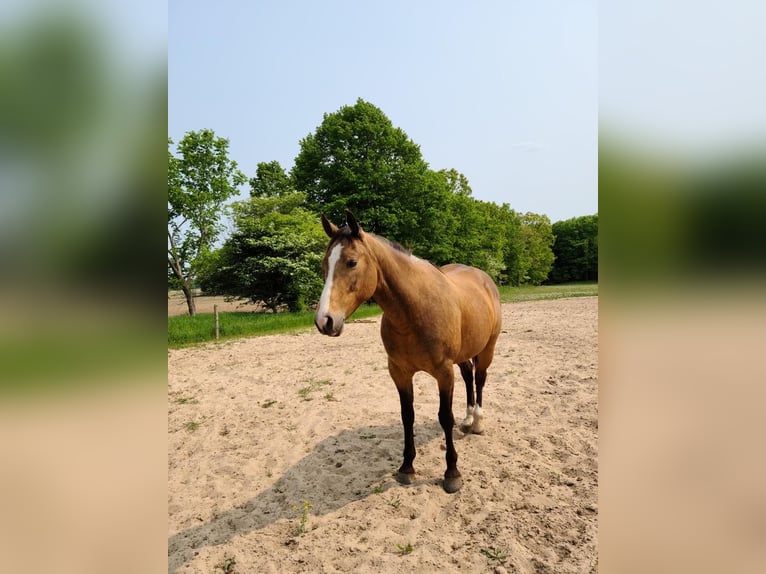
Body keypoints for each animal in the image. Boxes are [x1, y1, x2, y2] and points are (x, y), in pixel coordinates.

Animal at [314, 212, 504, 496]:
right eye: (324, 265)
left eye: (351, 262)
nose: (324, 321)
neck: (414, 310)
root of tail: (484, 278)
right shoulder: (399, 372)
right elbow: (407, 417)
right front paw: (407, 468)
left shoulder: (443, 373)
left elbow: (444, 417)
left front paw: (452, 473)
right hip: (463, 355)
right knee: (469, 377)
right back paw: (469, 418)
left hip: (487, 349)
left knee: (479, 379)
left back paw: (478, 423)